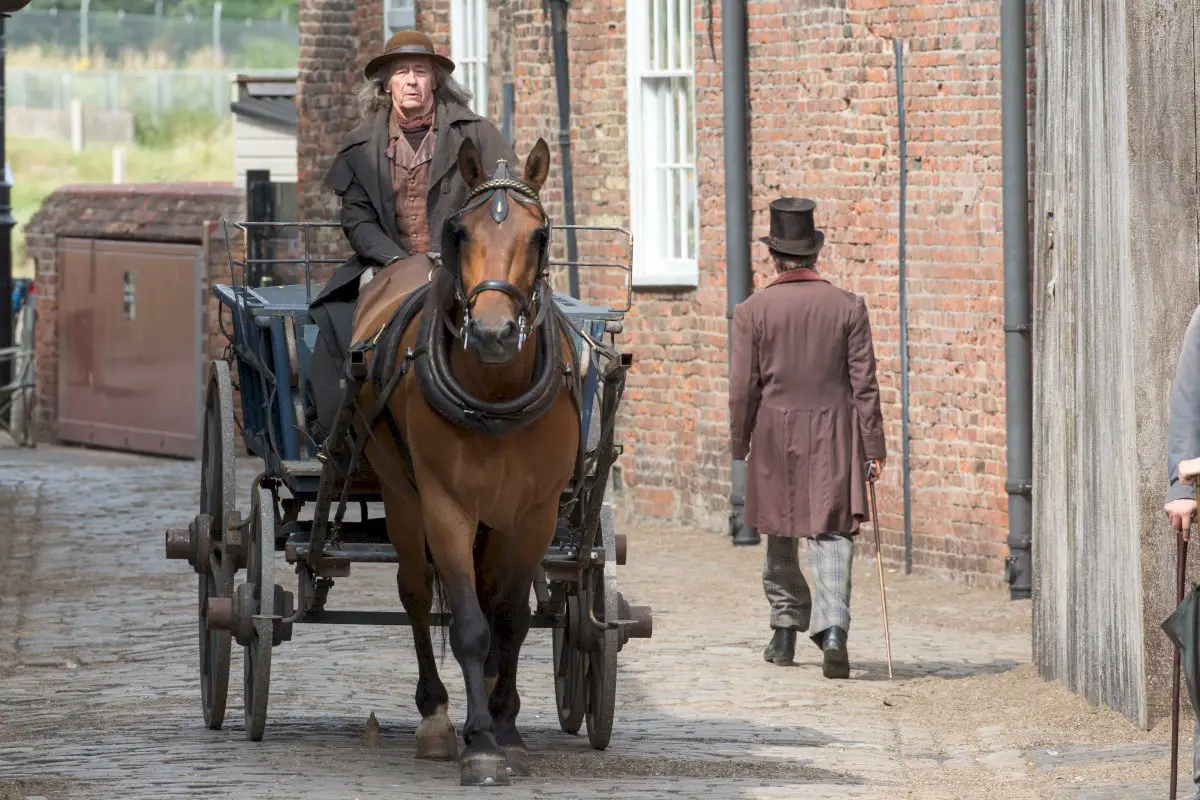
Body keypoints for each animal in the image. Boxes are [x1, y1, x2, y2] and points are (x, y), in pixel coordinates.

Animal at [348, 137, 580, 786]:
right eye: (461, 232)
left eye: (541, 235)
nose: (496, 333)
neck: (495, 394)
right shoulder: (446, 508)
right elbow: (471, 627)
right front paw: (479, 745)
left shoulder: (534, 515)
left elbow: (510, 619)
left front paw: (508, 730)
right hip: (403, 501)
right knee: (415, 595)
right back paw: (434, 717)